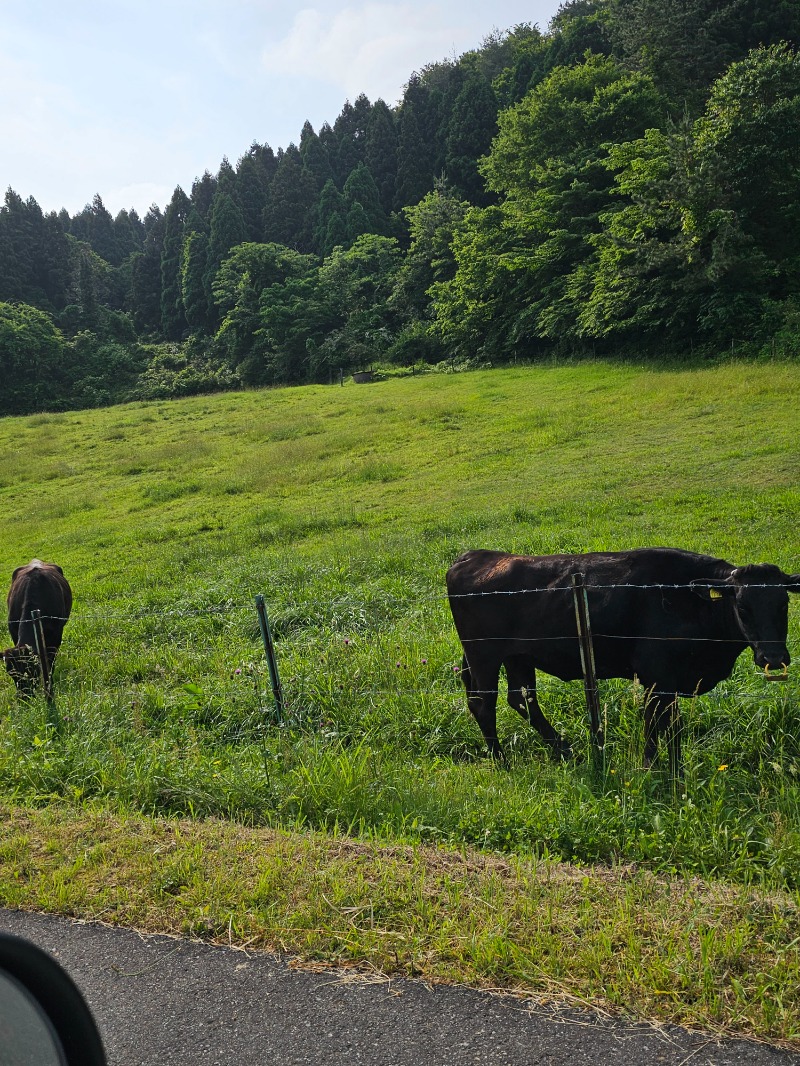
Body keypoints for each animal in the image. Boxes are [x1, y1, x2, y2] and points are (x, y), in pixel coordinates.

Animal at [2, 558, 72, 699]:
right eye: (11, 673)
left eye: (31, 670)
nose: (24, 698)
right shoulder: (13, 632)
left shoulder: (56, 636)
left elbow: (50, 663)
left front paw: (49, 687)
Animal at [448, 550, 797, 776]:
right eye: (742, 606)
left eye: (783, 604)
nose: (773, 657)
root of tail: (472, 556)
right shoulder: (656, 675)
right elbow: (656, 726)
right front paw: (652, 769)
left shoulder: (669, 681)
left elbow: (672, 727)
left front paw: (675, 771)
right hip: (484, 657)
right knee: (484, 705)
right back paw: (501, 760)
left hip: (518, 657)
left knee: (523, 699)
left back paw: (566, 751)